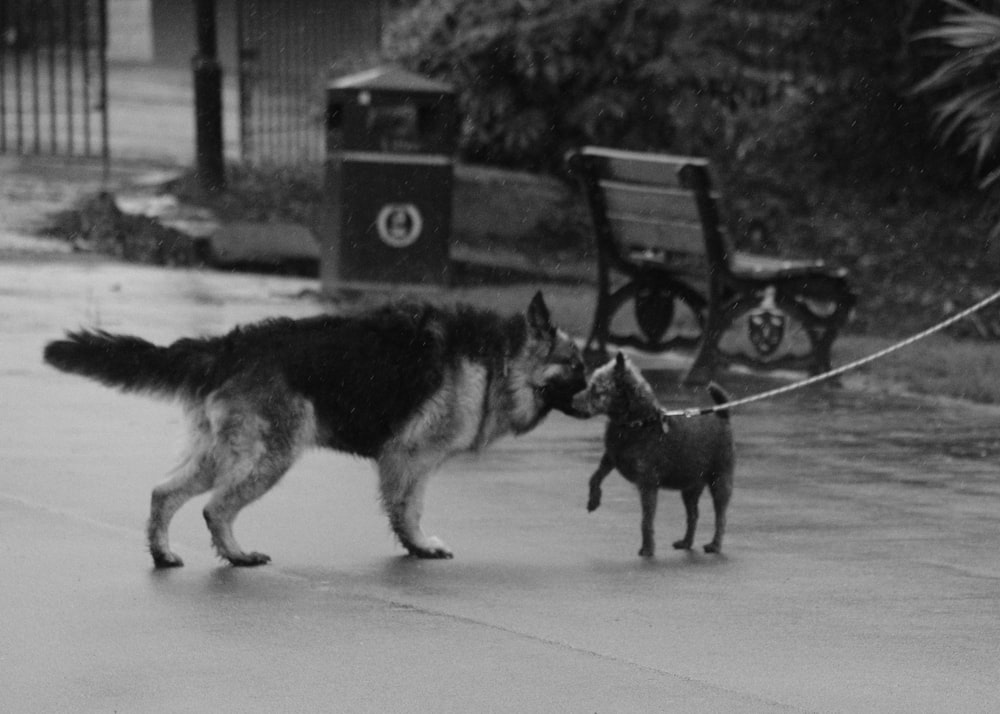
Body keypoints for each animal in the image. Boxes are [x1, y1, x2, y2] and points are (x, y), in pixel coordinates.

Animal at [45, 290, 584, 568]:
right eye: (576, 366)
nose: (599, 386)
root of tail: (228, 346)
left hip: (221, 454)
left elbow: (401, 508)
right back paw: (237, 556)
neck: (501, 360)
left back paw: (164, 553)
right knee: (216, 508)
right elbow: (408, 508)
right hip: (270, 457)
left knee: (164, 493)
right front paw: (419, 546)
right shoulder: (413, 457)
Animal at [572, 350, 736, 556]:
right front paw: (593, 500)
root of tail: (723, 416)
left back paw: (715, 545)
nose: (571, 401)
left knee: (720, 516)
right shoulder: (610, 458)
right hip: (690, 487)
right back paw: (686, 542)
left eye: (598, 391)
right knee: (693, 515)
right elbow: (595, 477)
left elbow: (646, 519)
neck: (636, 423)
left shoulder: (647, 484)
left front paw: (648, 548)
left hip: (719, 480)